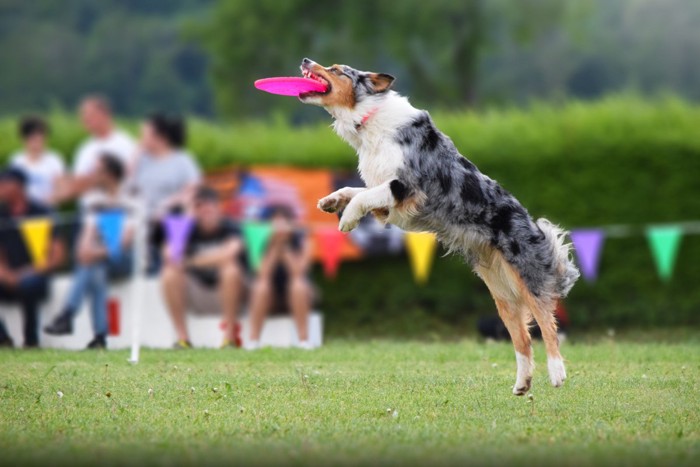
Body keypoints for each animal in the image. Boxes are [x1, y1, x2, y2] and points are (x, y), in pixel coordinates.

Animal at [300, 57, 580, 394]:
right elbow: (356, 190)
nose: (306, 60)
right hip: (502, 294)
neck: (369, 118)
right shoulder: (387, 204)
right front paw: (332, 201)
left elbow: (363, 196)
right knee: (522, 338)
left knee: (548, 324)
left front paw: (347, 219)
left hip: (526, 278)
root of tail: (533, 228)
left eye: (337, 70)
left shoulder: (407, 189)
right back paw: (522, 384)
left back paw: (557, 373)